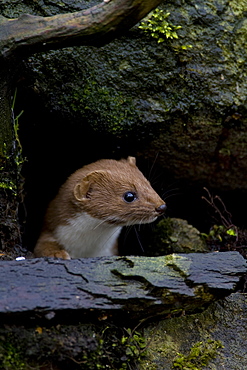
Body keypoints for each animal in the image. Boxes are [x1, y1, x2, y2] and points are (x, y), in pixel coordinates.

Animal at [34, 158, 166, 258]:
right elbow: (42, 247)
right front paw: (58, 254)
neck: (87, 249)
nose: (162, 206)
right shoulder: (50, 231)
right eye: (129, 196)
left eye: (148, 184)